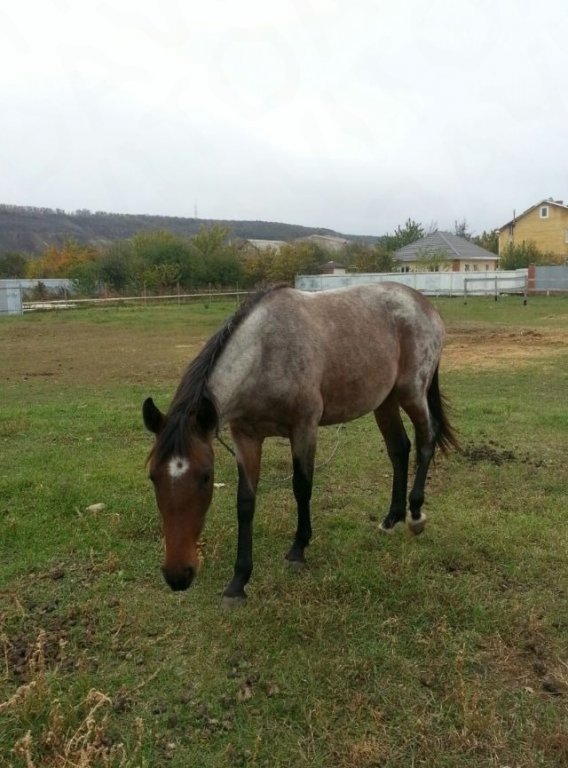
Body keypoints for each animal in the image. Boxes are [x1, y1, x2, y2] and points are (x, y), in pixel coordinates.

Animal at [142, 284, 458, 608]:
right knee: (399, 449)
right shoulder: (246, 437)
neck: (266, 353)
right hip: (385, 400)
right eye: (153, 477)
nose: (178, 575)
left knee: (426, 440)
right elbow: (245, 503)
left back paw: (415, 515)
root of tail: (423, 303)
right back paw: (392, 519)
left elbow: (302, 486)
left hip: (412, 393)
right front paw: (238, 582)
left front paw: (298, 550)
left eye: (206, 476)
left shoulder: (304, 428)